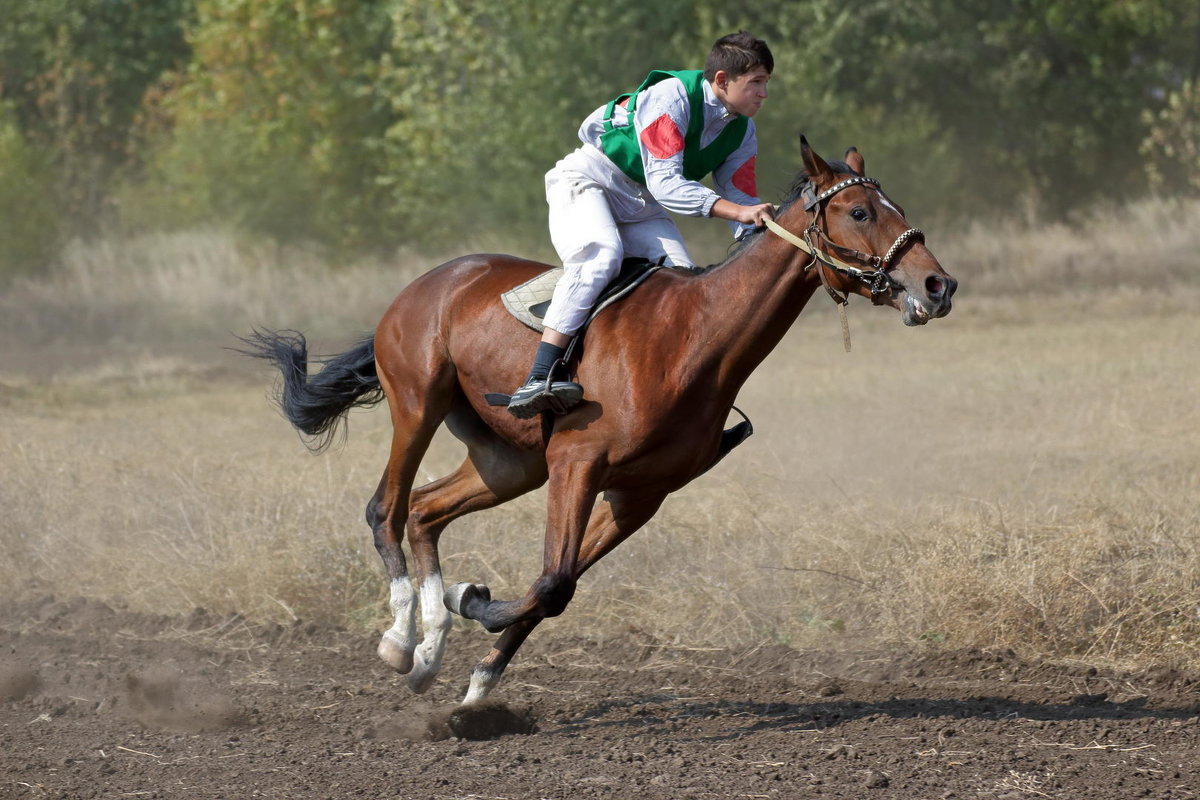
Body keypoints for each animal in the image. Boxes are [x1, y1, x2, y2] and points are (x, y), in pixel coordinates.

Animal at [241, 139, 955, 705]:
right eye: (859, 212)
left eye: (892, 206)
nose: (938, 285)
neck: (694, 342)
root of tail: (422, 285)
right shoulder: (578, 464)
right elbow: (552, 582)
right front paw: (472, 603)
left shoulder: (640, 493)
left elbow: (558, 586)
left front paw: (475, 669)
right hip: (419, 405)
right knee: (386, 507)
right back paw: (399, 639)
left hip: (509, 463)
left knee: (424, 510)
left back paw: (429, 649)